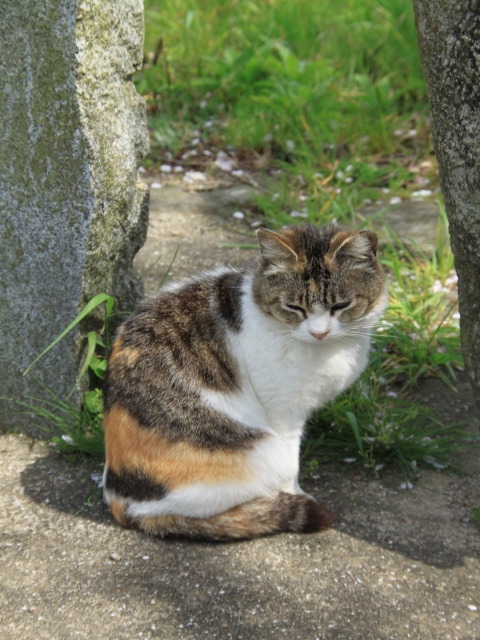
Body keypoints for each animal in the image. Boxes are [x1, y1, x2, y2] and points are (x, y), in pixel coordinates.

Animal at [102, 222, 386, 536]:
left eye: (340, 305)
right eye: (294, 307)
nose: (319, 332)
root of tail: (119, 502)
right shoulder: (284, 414)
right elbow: (292, 469)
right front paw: (296, 495)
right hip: (262, 453)